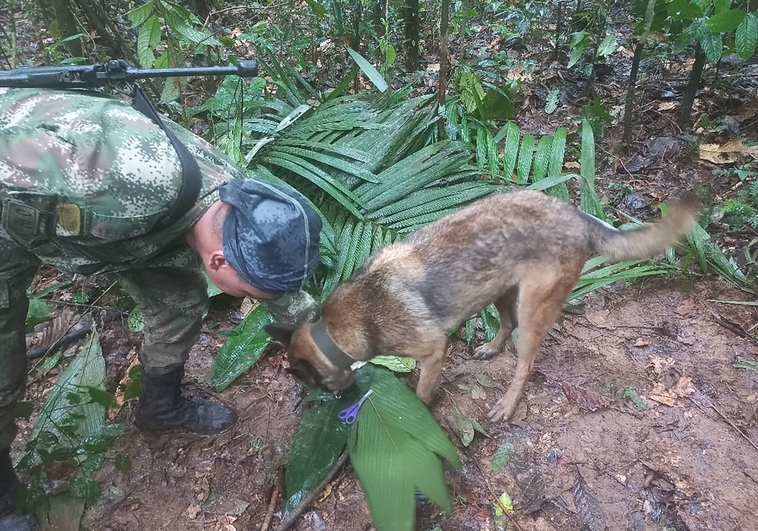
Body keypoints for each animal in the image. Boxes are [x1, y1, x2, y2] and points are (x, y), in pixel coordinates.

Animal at [268, 189, 700, 422]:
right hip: (500, 291)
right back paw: (491, 349)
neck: (336, 329)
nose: (337, 401)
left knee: (525, 362)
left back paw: (507, 404)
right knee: (505, 326)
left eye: (311, 383)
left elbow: (422, 392)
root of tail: (575, 214)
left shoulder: (433, 350)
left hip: (532, 309)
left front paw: (419, 412)